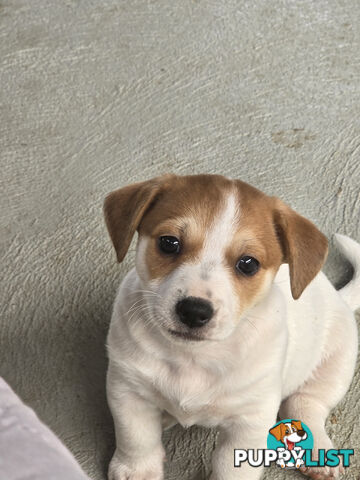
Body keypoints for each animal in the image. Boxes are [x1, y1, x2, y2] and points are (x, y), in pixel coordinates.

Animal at [102, 173, 358, 480]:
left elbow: (231, 467)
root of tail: (337, 295)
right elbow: (136, 438)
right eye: (169, 243)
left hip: (336, 363)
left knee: (306, 404)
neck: (192, 358)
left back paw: (318, 449)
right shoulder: (127, 391)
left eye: (248, 264)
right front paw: (138, 469)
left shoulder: (249, 422)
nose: (194, 311)